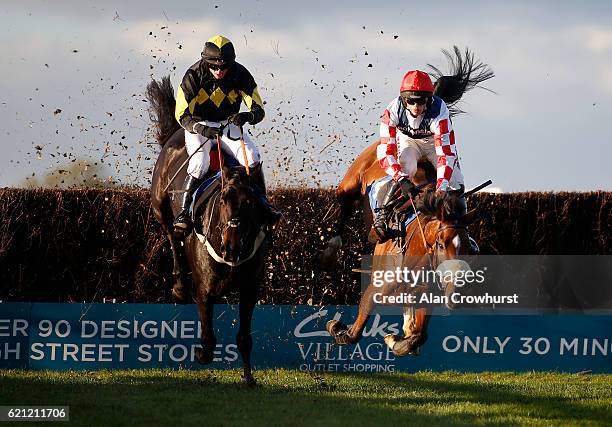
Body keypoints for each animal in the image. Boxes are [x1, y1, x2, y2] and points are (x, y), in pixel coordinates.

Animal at [148, 77, 268, 388]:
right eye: (223, 199)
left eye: (252, 201)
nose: (232, 246)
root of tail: (173, 134)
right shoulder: (204, 290)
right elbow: (209, 338)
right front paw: (201, 354)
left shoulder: (250, 289)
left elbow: (244, 337)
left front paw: (249, 378)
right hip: (160, 205)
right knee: (171, 236)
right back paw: (178, 285)